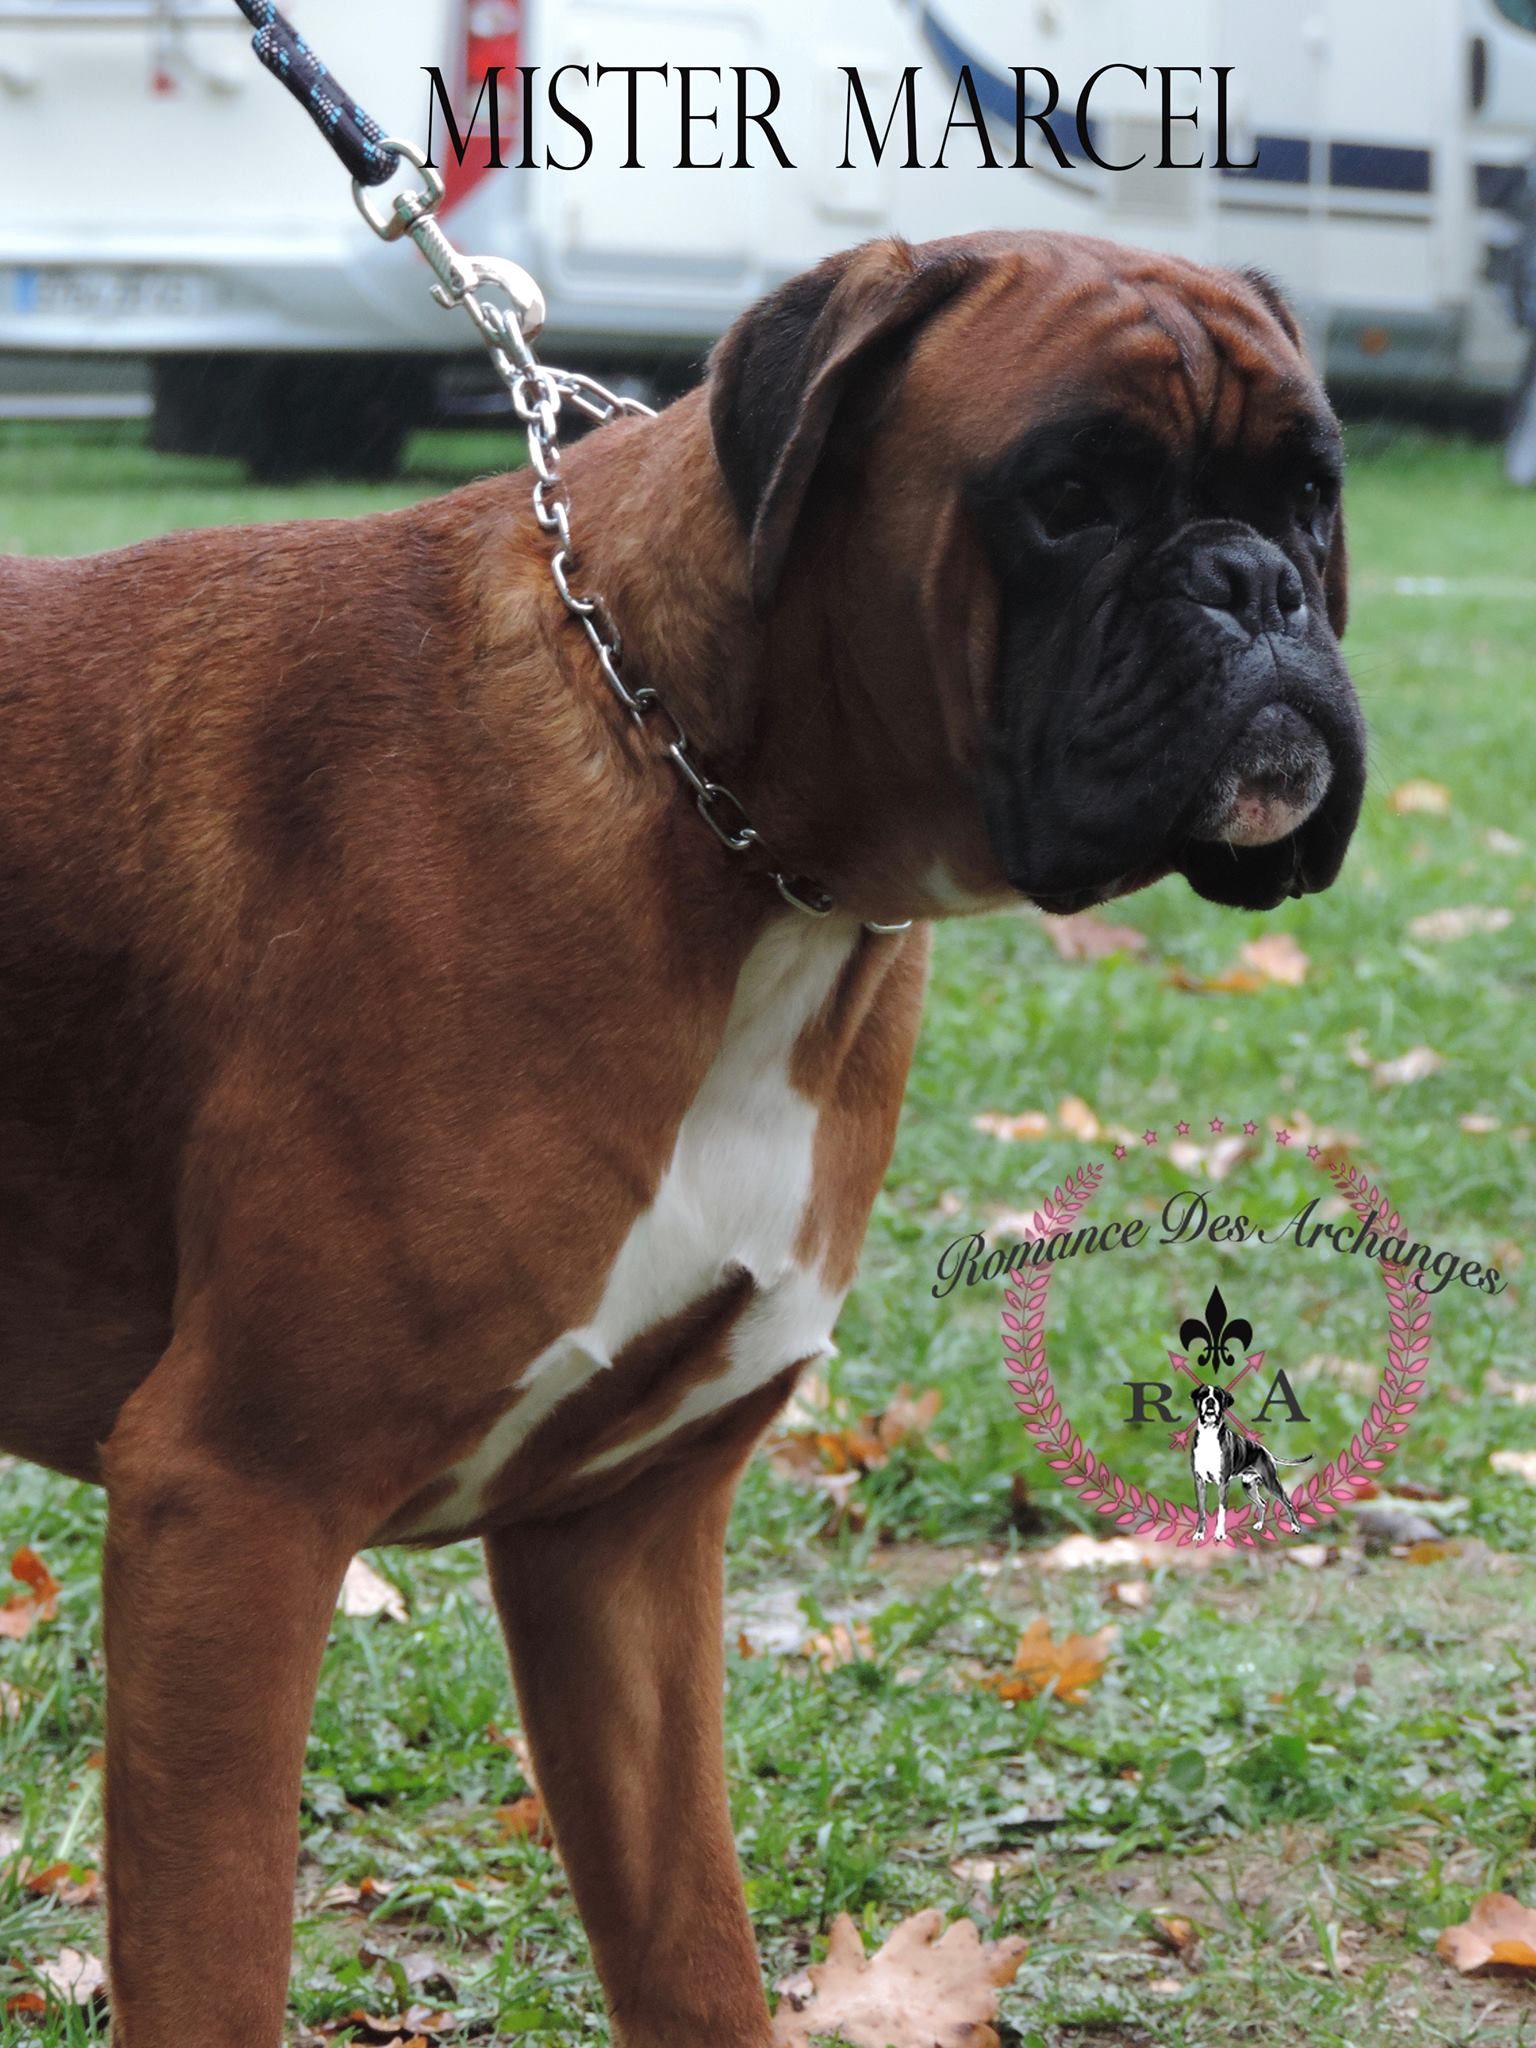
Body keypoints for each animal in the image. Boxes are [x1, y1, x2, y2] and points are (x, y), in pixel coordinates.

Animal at [1189, 1383, 1314, 1542]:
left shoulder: (1223, 1484)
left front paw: (1220, 1534)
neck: (1209, 1436)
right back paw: (1259, 1525)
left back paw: (1296, 1527)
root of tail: (1266, 1452)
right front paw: (1199, 1534)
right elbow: (1201, 1511)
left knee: (1287, 1503)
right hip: (1248, 1486)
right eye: (1203, 1394)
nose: (1210, 1400)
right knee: (1262, 1503)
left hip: (1272, 1484)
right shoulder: (1199, 1482)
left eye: (1218, 1396)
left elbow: (1222, 1512)